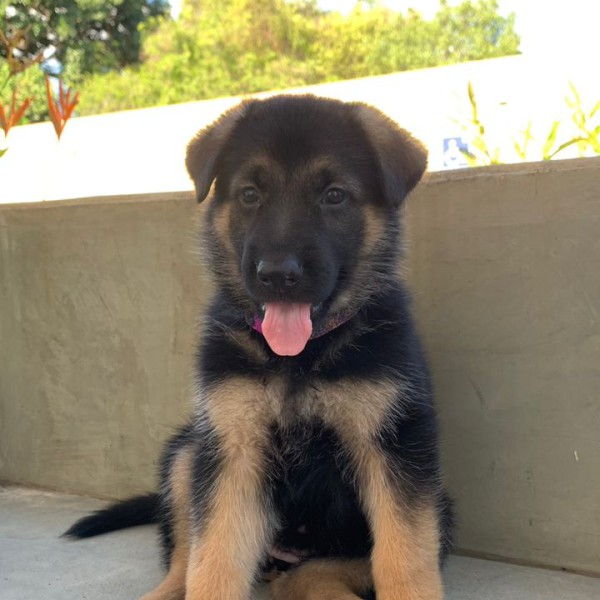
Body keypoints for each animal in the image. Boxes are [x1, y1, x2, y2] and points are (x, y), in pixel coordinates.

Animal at [65, 94, 453, 600]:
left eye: (334, 195)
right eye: (250, 194)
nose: (277, 275)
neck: (300, 360)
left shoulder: (395, 452)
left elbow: (403, 557)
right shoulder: (232, 452)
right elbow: (212, 563)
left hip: (436, 509)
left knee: (315, 572)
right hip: (190, 452)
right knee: (184, 558)